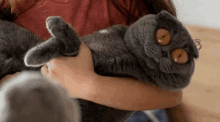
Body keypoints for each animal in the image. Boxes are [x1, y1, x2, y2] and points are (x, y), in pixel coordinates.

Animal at [0, 10, 199, 122]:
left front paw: (34, 54)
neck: (127, 52)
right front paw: (34, 55)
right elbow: (59, 44)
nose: (165, 53)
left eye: (179, 56)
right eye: (163, 36)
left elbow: (72, 44)